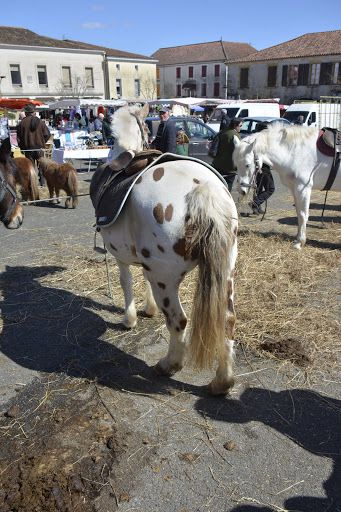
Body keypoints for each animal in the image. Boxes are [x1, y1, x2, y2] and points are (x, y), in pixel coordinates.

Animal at [91, 102, 239, 394]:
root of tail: (203, 191)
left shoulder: (121, 257)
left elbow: (126, 283)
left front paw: (130, 319)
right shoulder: (143, 261)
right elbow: (141, 280)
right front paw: (148, 310)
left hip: (166, 281)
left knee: (178, 321)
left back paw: (168, 365)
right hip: (225, 272)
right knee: (227, 320)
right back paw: (221, 382)